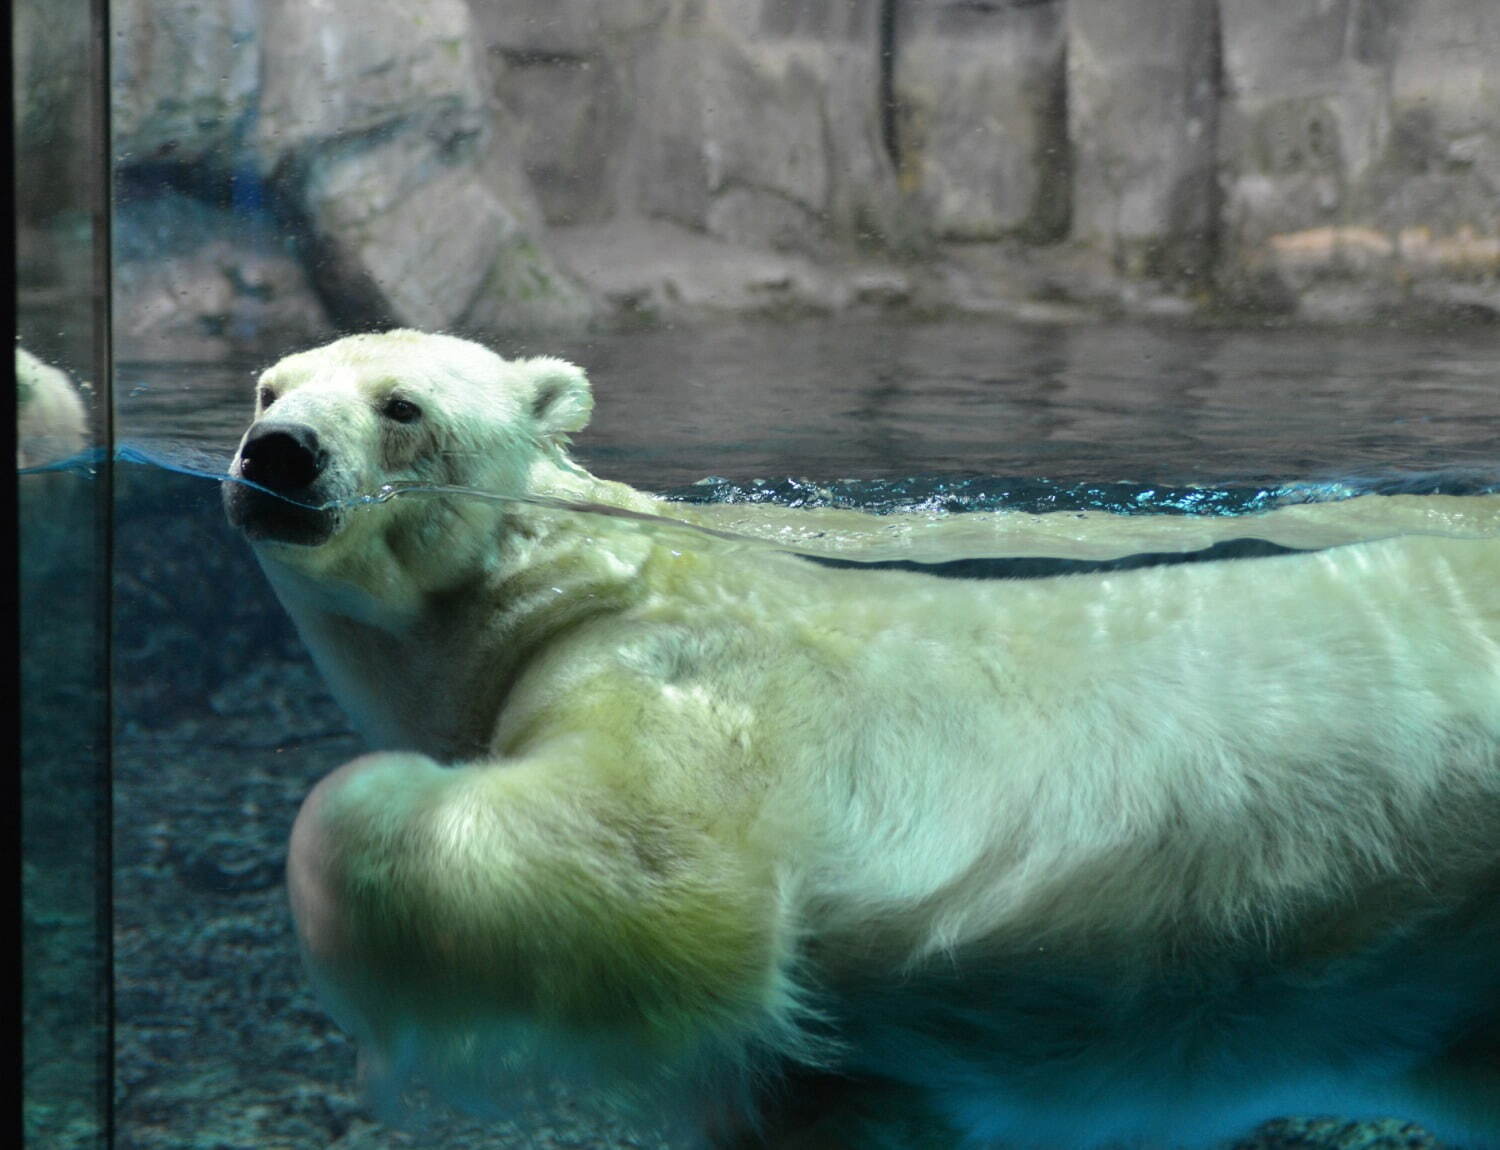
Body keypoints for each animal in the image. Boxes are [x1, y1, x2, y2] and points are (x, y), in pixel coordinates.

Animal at [228, 328, 1500, 1145]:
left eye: (402, 406)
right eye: (268, 385)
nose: (275, 454)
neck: (574, 572)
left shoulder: (681, 672)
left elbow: (656, 867)